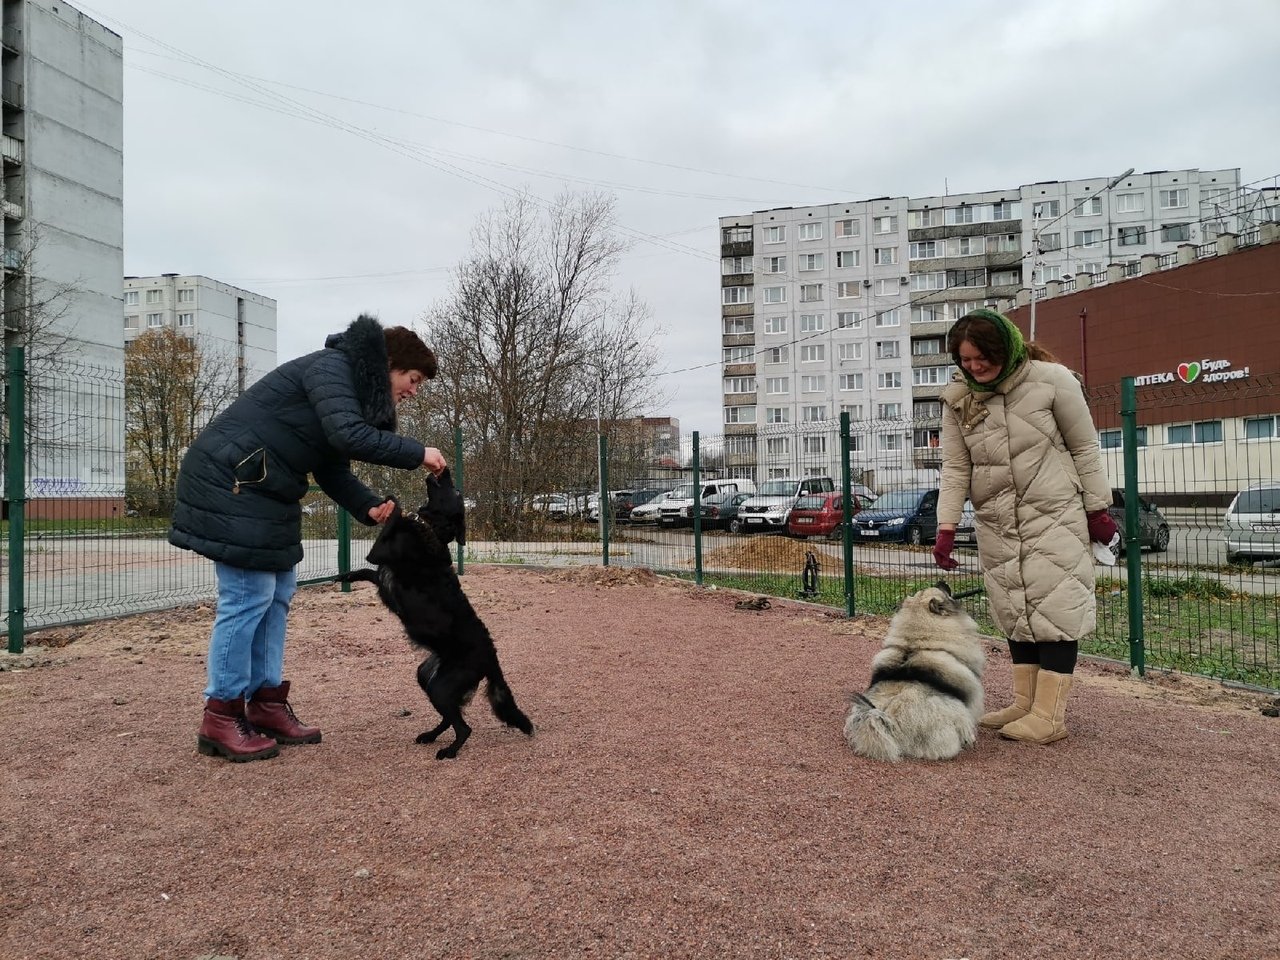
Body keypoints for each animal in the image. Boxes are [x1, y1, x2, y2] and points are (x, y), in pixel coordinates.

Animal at [337, 468, 532, 757]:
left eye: (457, 491)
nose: (446, 469)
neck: (431, 530)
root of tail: (491, 656)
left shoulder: (379, 553)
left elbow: (392, 519)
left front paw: (392, 502)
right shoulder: (381, 573)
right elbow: (365, 572)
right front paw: (344, 576)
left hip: (441, 687)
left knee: (464, 727)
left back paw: (449, 751)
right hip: (427, 677)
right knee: (449, 718)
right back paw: (430, 736)